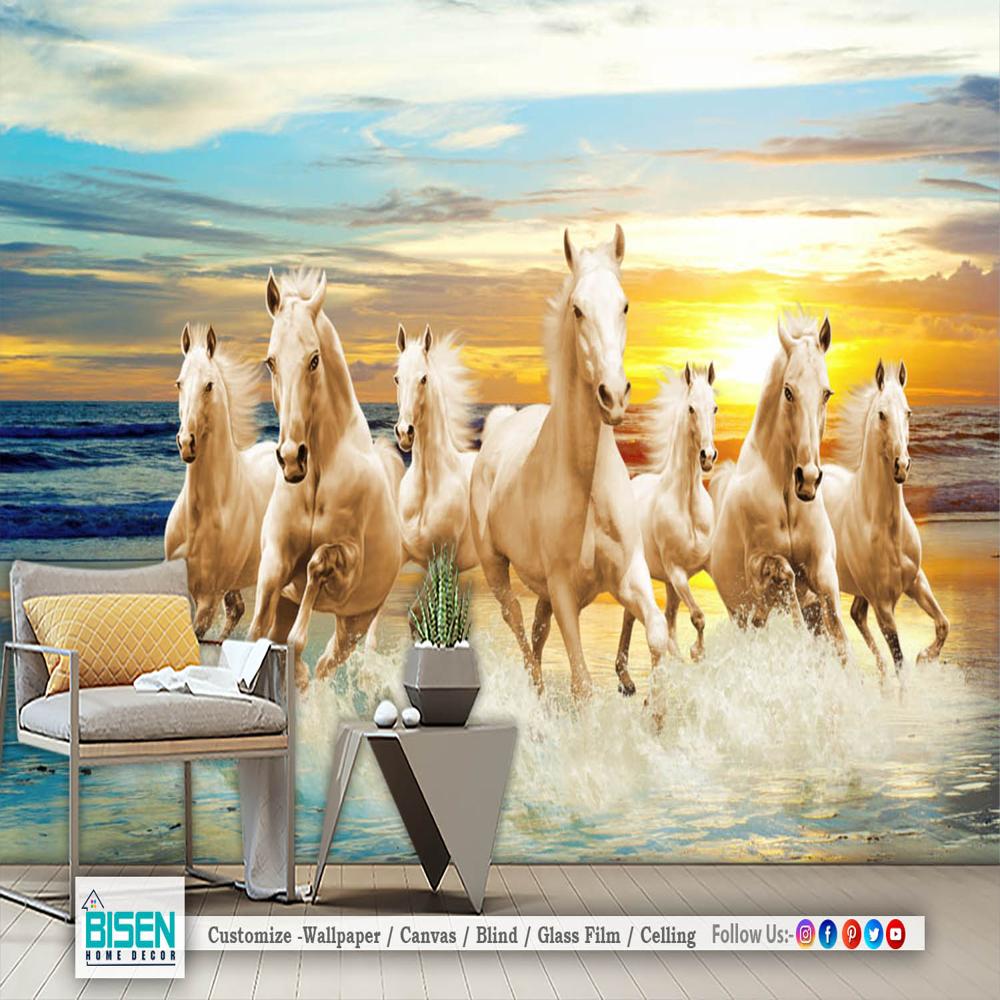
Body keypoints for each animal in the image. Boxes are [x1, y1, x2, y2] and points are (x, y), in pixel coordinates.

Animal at [248, 268, 404, 689]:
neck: (316, 475)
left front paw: (297, 657)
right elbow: (257, 628)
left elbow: (317, 563)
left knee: (329, 661)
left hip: (356, 620)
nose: (291, 458)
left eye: (314, 359)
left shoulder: (347, 563)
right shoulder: (275, 559)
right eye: (270, 362)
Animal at [470, 225, 668, 700]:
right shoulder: (562, 589)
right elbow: (582, 683)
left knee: (537, 634)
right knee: (518, 624)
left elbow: (658, 635)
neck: (587, 482)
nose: (614, 396)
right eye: (578, 309)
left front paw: (653, 708)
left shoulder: (627, 575)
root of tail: (500, 424)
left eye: (625, 304)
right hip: (498, 570)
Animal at [615, 362, 718, 677]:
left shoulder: (707, 565)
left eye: (715, 407)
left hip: (668, 586)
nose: (708, 456)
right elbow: (697, 616)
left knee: (663, 617)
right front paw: (697, 652)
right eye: (691, 408)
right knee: (633, 617)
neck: (687, 505)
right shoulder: (676, 571)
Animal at [709, 311, 848, 657]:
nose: (808, 478)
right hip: (737, 616)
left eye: (826, 393)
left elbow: (837, 626)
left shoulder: (822, 564)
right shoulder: (757, 563)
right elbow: (784, 573)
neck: (785, 492)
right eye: (788, 391)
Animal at [822, 360, 948, 676]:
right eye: (881, 414)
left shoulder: (916, 582)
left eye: (908, 412)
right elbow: (900, 663)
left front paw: (925, 657)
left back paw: (878, 674)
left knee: (854, 615)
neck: (886, 526)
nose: (901, 466)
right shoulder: (883, 605)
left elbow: (944, 624)